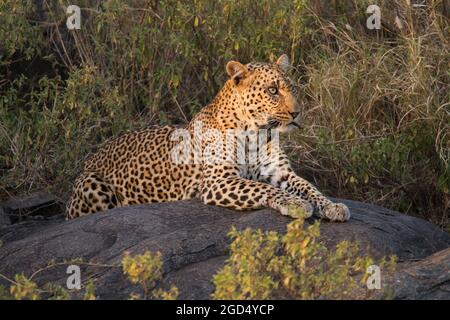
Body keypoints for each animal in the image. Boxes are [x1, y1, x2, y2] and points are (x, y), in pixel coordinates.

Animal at [64, 53, 352, 221]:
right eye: (272, 90)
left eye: (291, 88)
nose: (297, 112)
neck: (257, 133)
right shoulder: (218, 181)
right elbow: (263, 188)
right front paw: (295, 204)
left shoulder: (280, 172)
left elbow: (310, 187)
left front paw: (333, 206)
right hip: (91, 184)